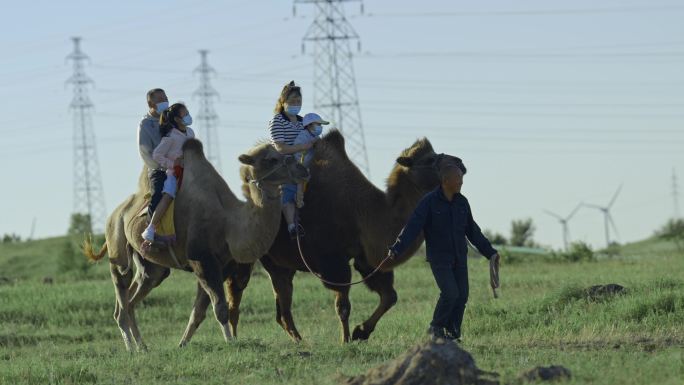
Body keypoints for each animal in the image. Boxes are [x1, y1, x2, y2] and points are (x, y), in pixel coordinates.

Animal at [84, 139, 308, 352]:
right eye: (271, 159)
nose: (302, 169)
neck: (229, 224)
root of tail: (115, 213)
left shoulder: (220, 267)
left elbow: (198, 312)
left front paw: (182, 344)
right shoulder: (202, 260)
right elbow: (220, 308)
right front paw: (231, 343)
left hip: (151, 267)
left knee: (136, 295)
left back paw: (142, 346)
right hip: (117, 245)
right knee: (121, 298)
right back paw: (131, 348)